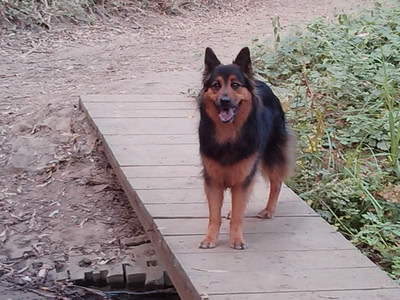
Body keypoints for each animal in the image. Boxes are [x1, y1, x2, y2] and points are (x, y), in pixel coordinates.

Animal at [198, 46, 294, 248]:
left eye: (235, 85)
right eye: (216, 85)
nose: (225, 101)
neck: (228, 136)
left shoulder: (244, 176)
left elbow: (238, 214)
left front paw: (236, 239)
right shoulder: (213, 179)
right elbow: (214, 215)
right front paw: (210, 238)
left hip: (271, 154)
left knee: (276, 182)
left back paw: (269, 210)